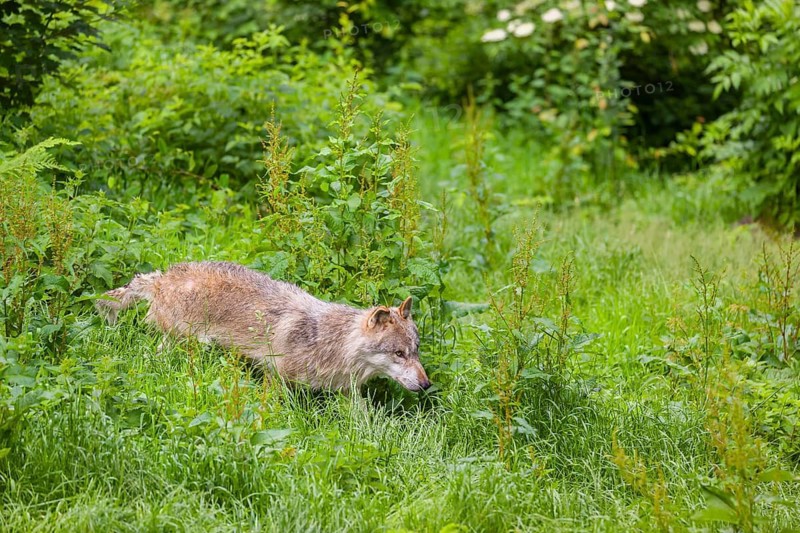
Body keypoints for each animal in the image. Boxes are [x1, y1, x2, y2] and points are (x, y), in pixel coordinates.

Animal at [96, 261, 431, 392]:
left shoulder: (348, 393)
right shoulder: (276, 375)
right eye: (398, 354)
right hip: (188, 345)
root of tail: (163, 277)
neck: (332, 343)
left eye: (415, 352)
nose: (427, 384)